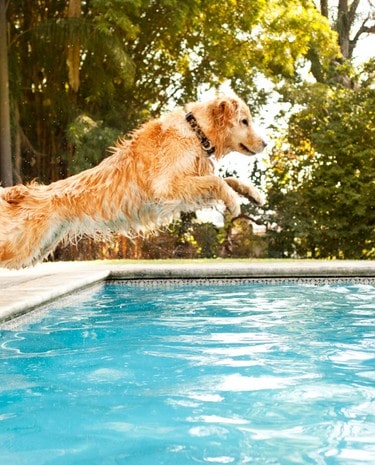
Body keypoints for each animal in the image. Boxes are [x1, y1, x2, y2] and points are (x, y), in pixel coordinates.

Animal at [0, 94, 268, 268]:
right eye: (244, 121)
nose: (265, 143)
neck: (195, 131)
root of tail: (20, 193)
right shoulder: (167, 187)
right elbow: (217, 181)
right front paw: (233, 202)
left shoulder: (187, 187)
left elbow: (226, 178)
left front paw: (253, 193)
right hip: (19, 244)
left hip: (36, 249)